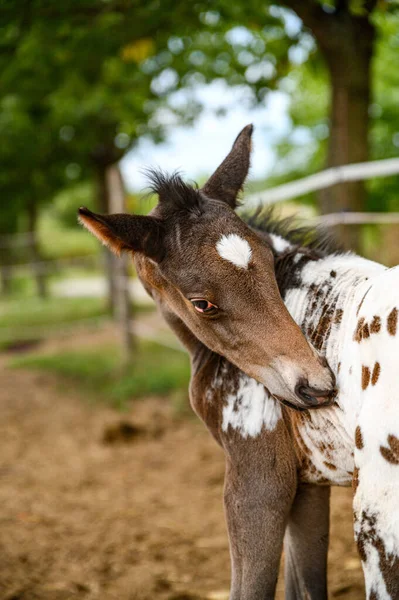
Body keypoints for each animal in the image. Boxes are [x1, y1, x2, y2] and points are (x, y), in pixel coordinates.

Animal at [79, 124, 399, 596]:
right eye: (202, 303)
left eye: (269, 263)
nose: (316, 386)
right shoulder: (308, 484)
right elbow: (304, 584)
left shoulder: (257, 479)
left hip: (377, 515)